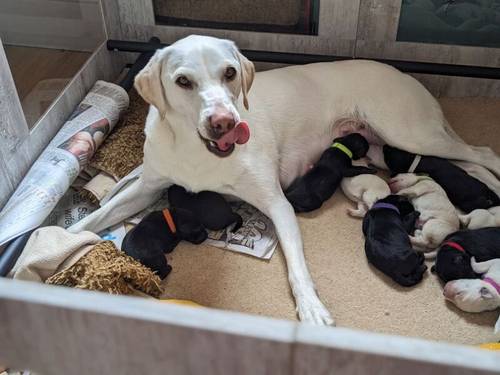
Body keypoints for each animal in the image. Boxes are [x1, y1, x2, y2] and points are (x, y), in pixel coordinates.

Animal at [69, 34, 500, 326]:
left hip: (408, 133)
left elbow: (296, 266)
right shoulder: (146, 188)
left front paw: (311, 308)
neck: (198, 151)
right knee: (471, 162)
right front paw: (61, 243)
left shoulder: (278, 204)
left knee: (484, 154)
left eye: (230, 73)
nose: (224, 122)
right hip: (384, 147)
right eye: (183, 82)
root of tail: (404, 74)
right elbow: (93, 219)